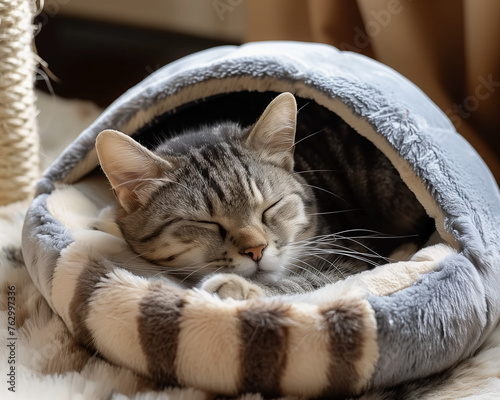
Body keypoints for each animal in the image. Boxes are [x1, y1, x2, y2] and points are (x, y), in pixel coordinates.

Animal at [94, 93, 434, 300]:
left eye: (270, 207)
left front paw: (236, 288)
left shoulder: (351, 253)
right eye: (207, 223)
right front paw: (106, 221)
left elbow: (305, 279)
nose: (256, 250)